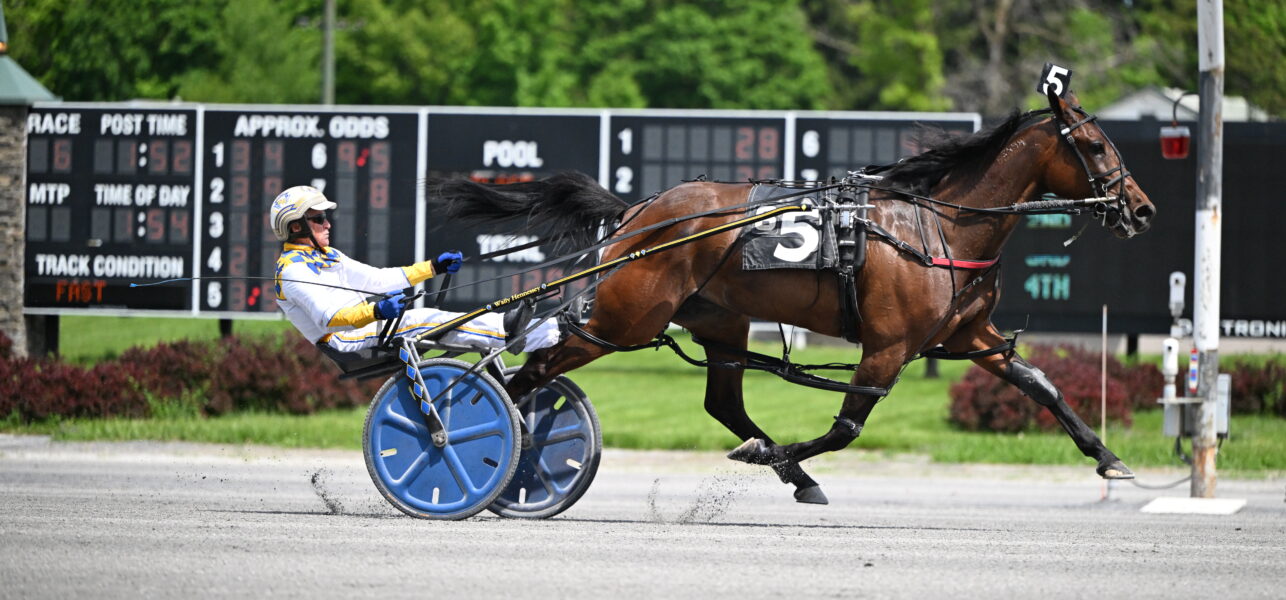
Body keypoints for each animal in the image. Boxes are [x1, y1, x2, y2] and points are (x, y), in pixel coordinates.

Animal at [429, 88, 1156, 504]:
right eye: (1095, 144)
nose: (1142, 209)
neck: (940, 225)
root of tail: (640, 211)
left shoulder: (967, 334)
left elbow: (1041, 384)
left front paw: (1110, 459)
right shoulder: (889, 344)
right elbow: (846, 427)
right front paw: (779, 458)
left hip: (719, 322)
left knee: (721, 403)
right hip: (622, 320)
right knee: (526, 373)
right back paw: (471, 440)